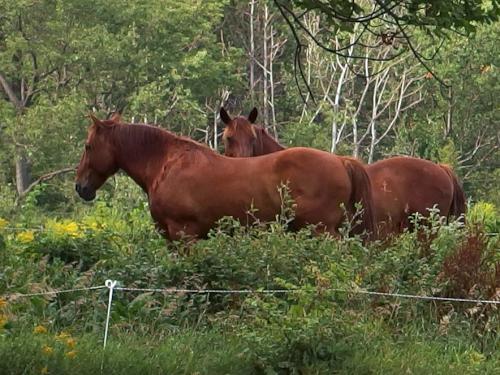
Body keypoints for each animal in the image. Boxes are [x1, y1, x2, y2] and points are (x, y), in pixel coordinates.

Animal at [75, 114, 376, 242]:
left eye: (88, 146)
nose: (81, 187)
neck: (167, 163)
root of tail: (341, 161)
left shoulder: (184, 235)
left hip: (322, 232)